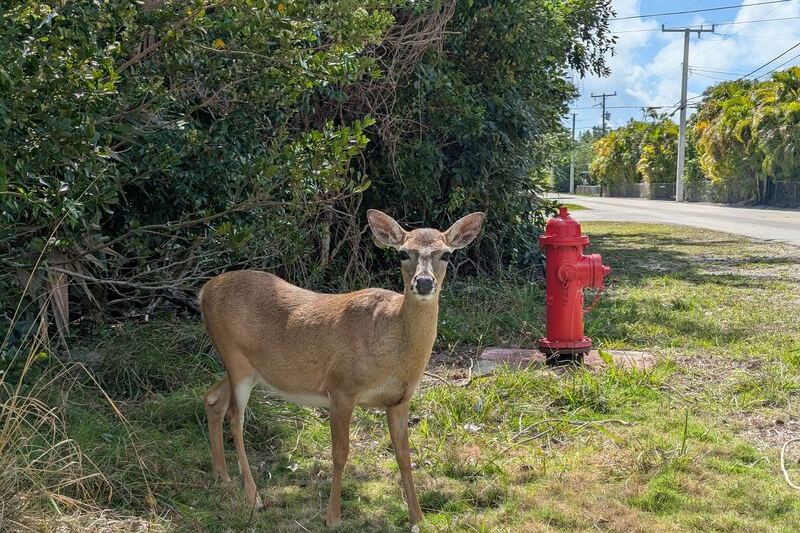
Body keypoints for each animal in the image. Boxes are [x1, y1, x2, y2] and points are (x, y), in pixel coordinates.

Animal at [199, 209, 484, 527]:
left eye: (446, 254)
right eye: (402, 253)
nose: (423, 283)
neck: (393, 345)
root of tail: (204, 291)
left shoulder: (400, 399)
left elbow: (404, 455)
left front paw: (417, 517)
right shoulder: (341, 388)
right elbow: (340, 453)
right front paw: (333, 517)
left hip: (247, 368)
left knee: (212, 398)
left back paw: (221, 476)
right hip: (236, 359)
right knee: (235, 419)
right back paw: (254, 499)